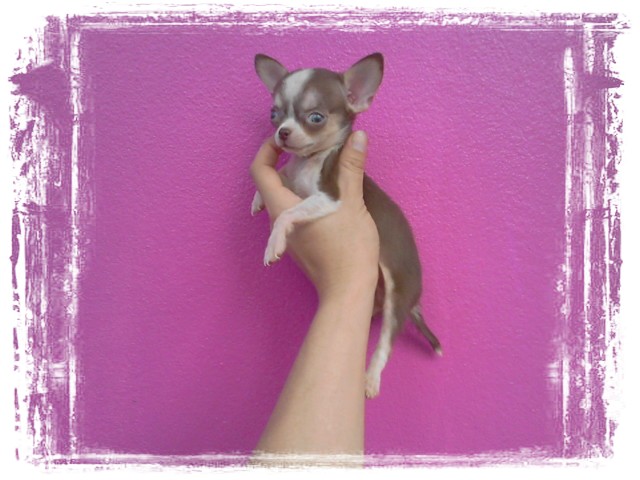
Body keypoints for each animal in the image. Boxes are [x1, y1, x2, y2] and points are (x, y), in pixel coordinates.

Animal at [252, 53, 441, 398]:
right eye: (274, 114)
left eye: (315, 117)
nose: (282, 132)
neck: (308, 162)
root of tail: (415, 299)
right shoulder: (294, 181)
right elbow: (282, 174)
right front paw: (259, 197)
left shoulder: (330, 198)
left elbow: (287, 213)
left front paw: (274, 242)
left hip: (398, 294)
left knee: (385, 344)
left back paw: (371, 378)